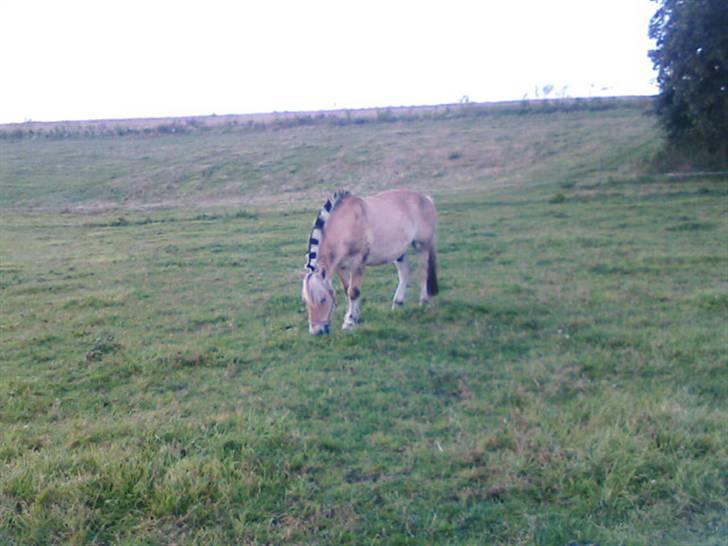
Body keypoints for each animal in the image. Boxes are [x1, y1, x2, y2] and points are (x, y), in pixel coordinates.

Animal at [302, 189, 439, 335]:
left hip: (422, 246)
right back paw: (398, 303)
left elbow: (353, 292)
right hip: (400, 253)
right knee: (405, 273)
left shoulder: (358, 263)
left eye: (323, 299)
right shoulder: (341, 267)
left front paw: (349, 322)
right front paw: (354, 316)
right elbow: (347, 290)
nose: (316, 331)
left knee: (423, 272)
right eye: (306, 301)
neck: (346, 223)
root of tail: (426, 199)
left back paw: (424, 302)